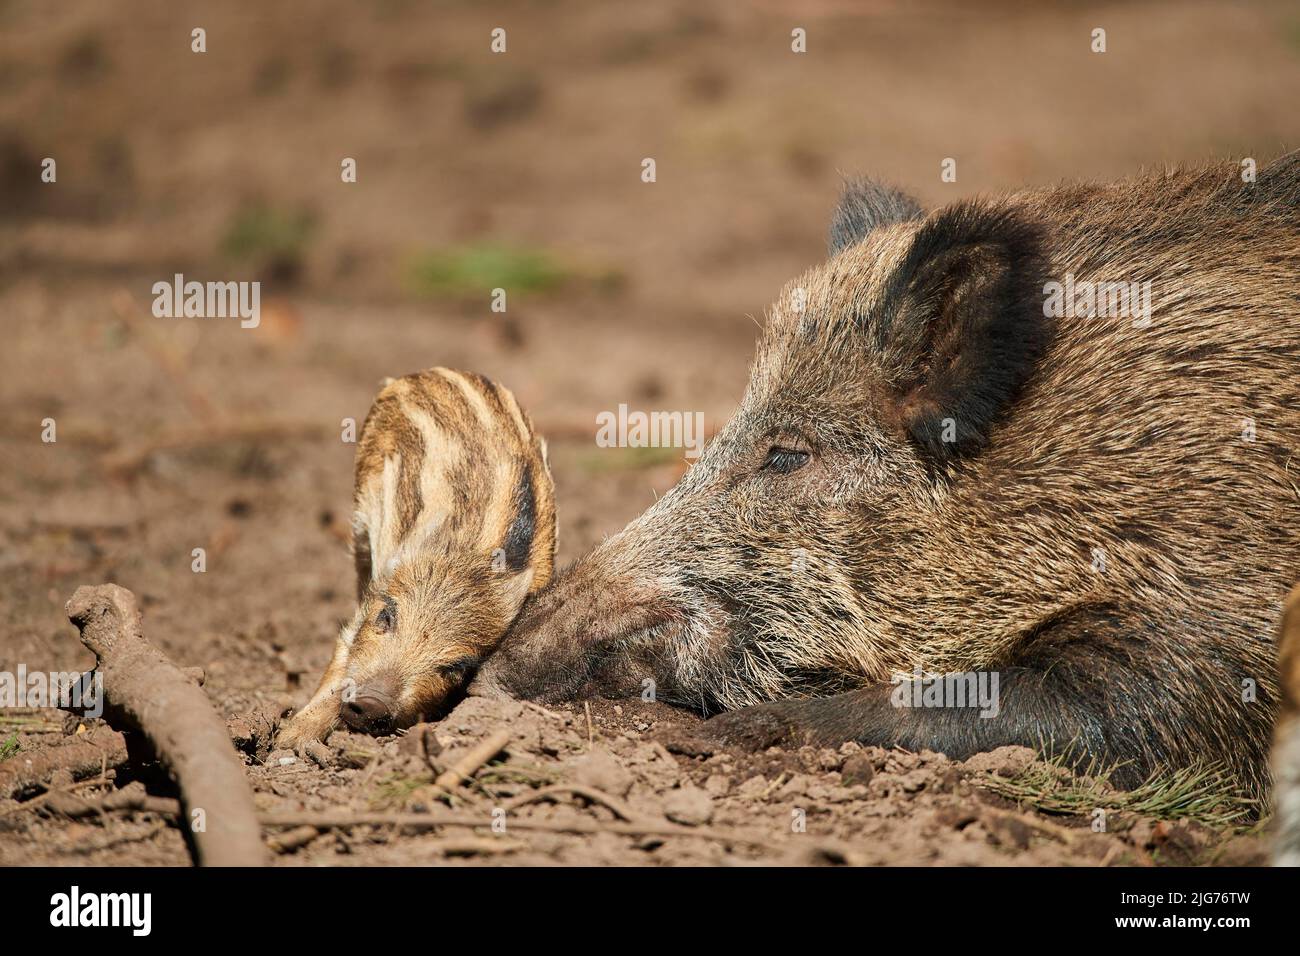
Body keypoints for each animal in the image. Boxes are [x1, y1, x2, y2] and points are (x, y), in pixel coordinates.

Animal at [277, 367, 554, 749]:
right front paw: (286, 742)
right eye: (386, 618)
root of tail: (435, 371)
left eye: (457, 666)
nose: (372, 702)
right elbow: (344, 649)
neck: (461, 560)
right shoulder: (373, 597)